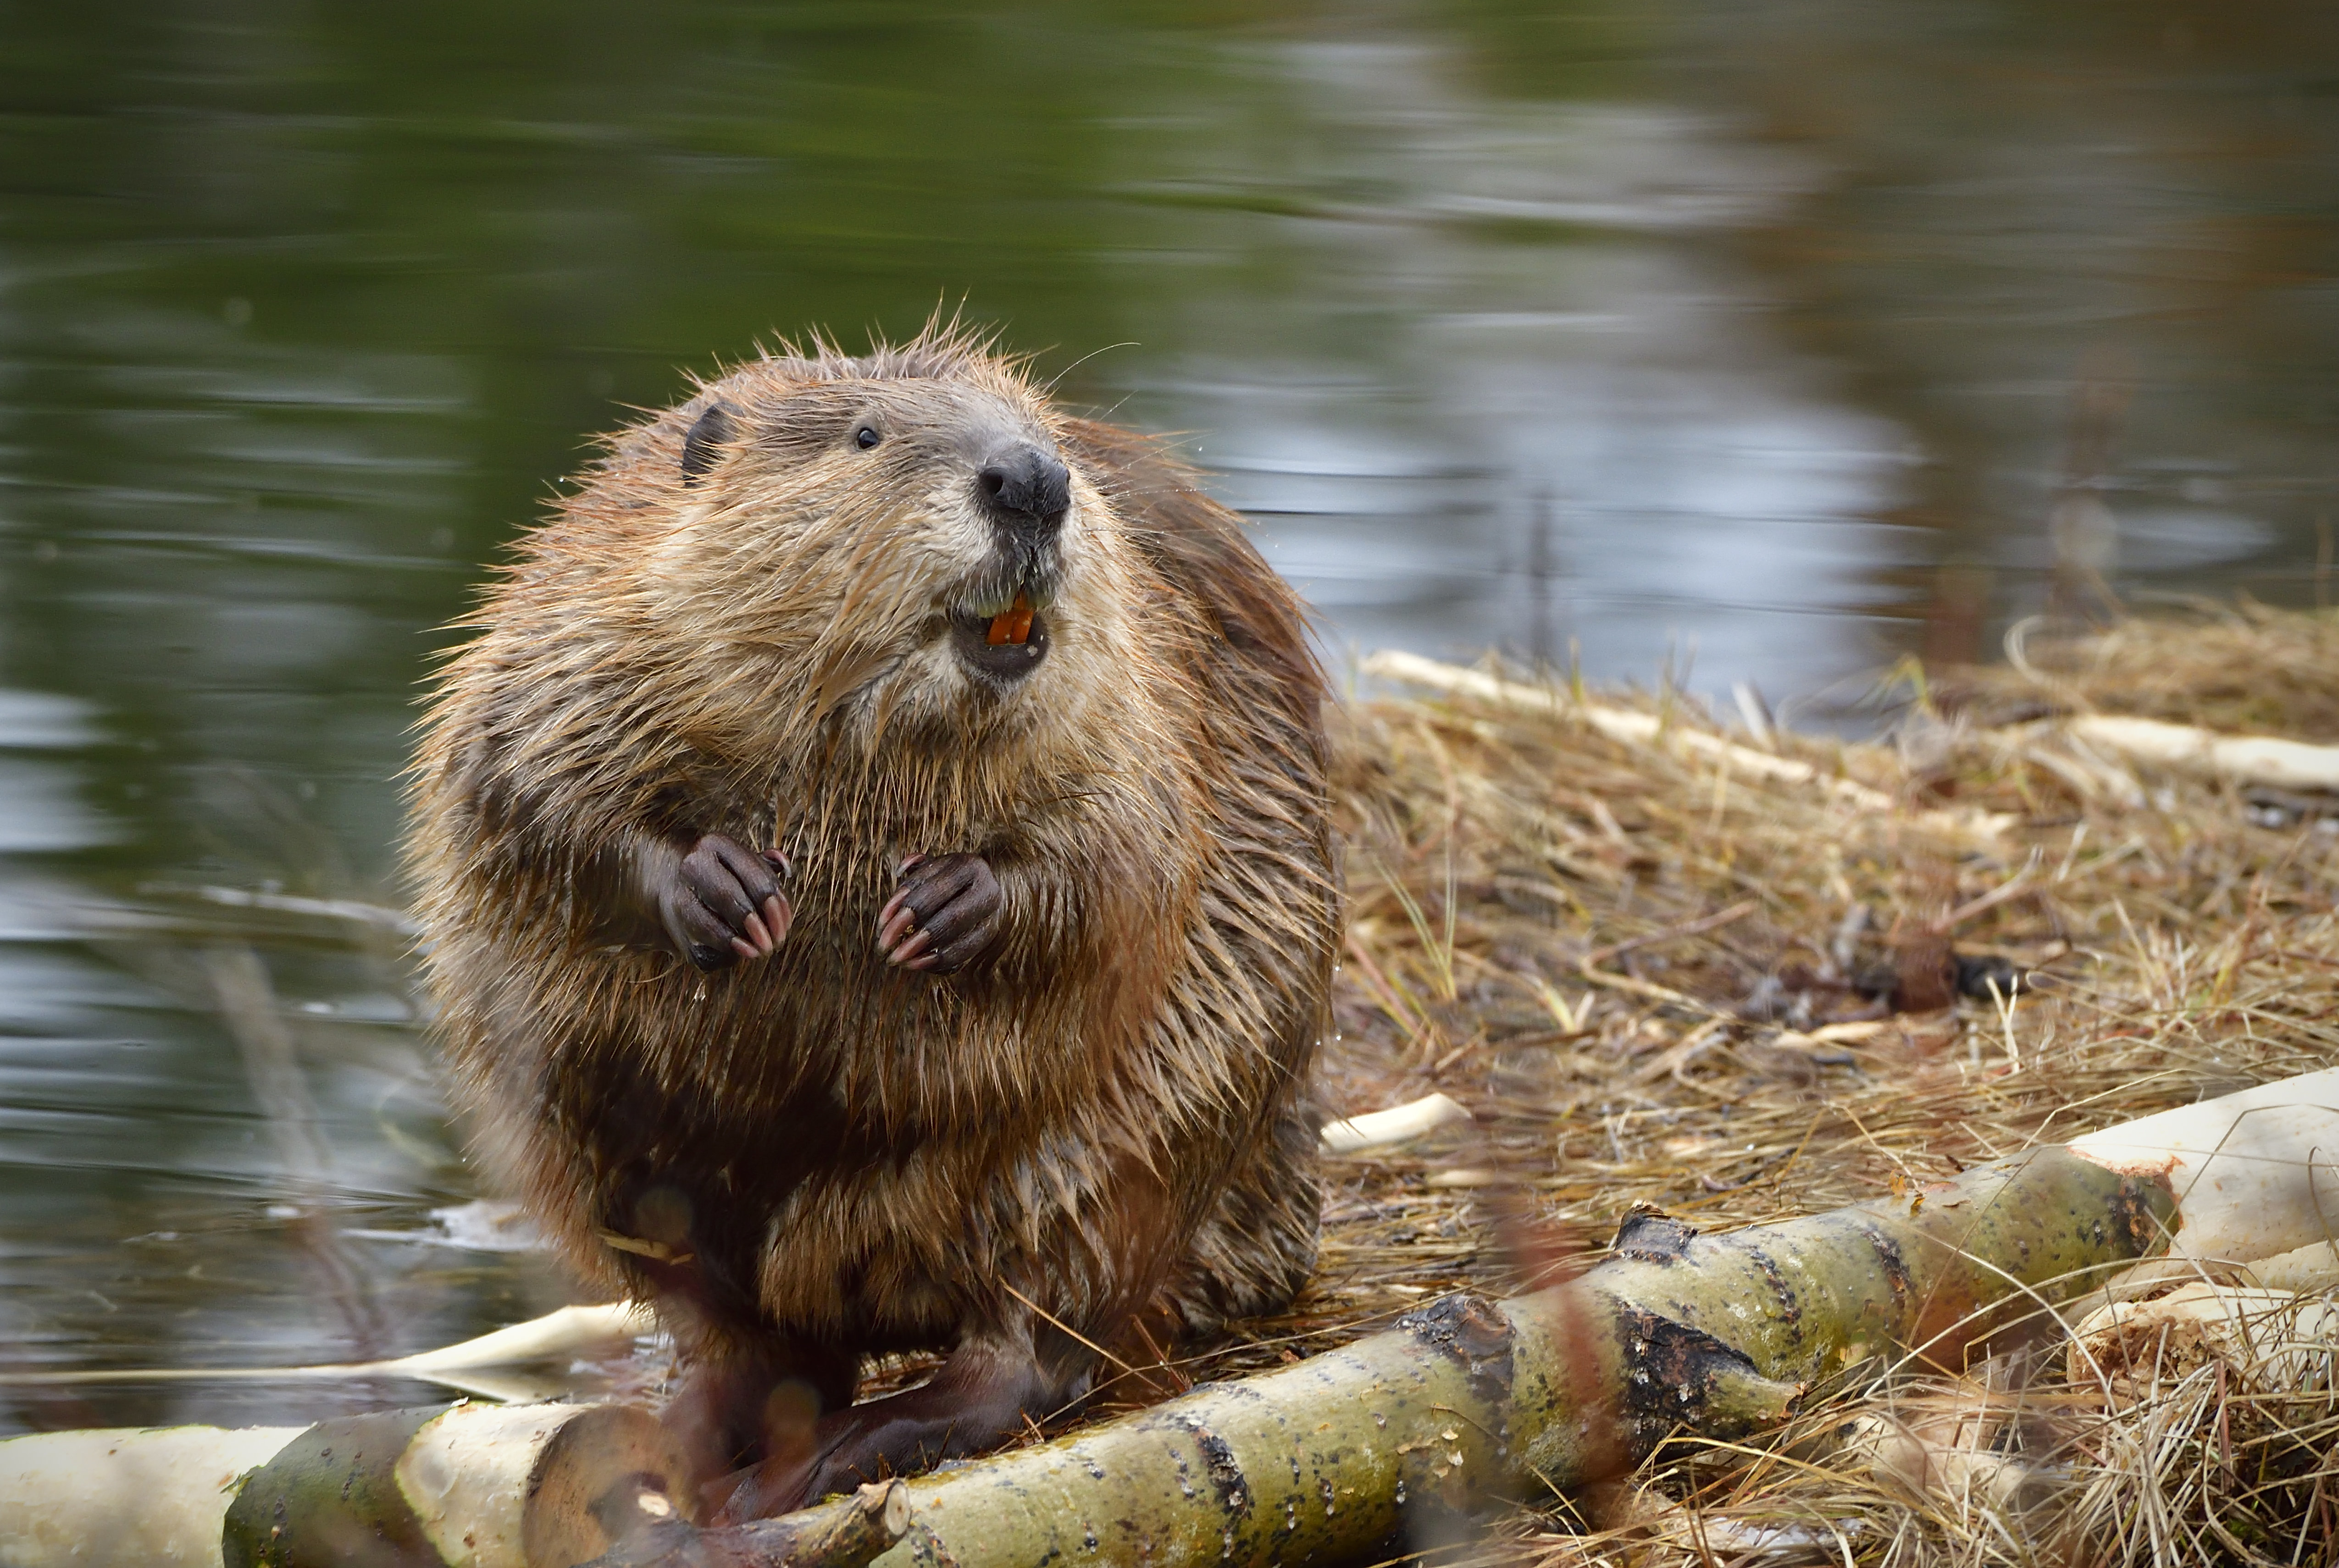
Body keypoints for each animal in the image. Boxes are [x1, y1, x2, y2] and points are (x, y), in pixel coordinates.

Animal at [411, 327, 1347, 1526]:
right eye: (866, 435)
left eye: (1043, 435)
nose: (1032, 481)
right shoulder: (582, 609)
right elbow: (522, 776)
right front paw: (725, 890)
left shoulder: (1147, 680)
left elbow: (1128, 845)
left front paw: (943, 904)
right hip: (611, 1165)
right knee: (756, 1340)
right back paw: (676, 1440)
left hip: (1124, 1141)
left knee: (1031, 1340)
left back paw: (823, 1456)